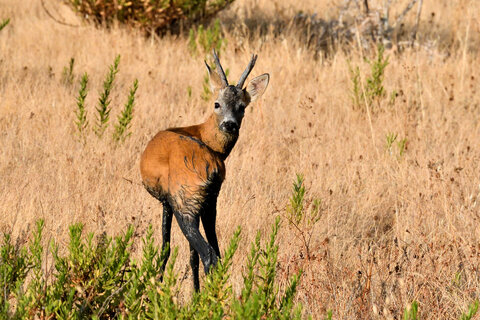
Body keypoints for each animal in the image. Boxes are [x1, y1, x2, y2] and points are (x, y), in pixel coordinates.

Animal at [140, 50, 270, 292]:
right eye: (217, 104)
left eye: (242, 107)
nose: (230, 124)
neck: (201, 134)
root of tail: (211, 165)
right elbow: (191, 256)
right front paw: (194, 290)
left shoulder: (167, 201)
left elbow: (166, 248)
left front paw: (157, 287)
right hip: (209, 202)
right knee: (216, 252)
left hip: (185, 202)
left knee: (208, 254)